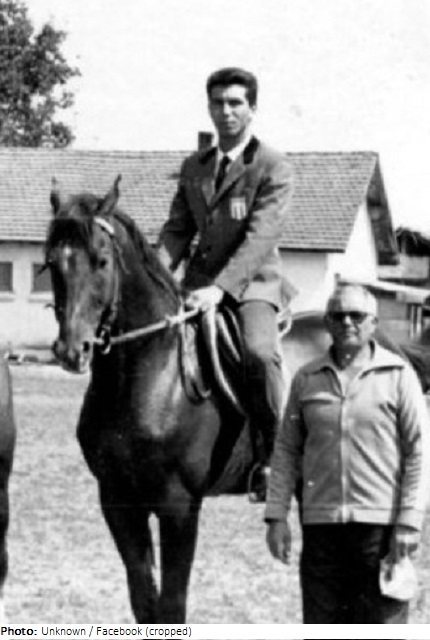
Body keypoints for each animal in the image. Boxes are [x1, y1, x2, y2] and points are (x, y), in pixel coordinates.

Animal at [45, 176, 276, 623]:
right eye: (51, 264)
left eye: (102, 260)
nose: (71, 351)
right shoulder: (118, 500)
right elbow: (144, 600)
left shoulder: (178, 507)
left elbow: (172, 604)